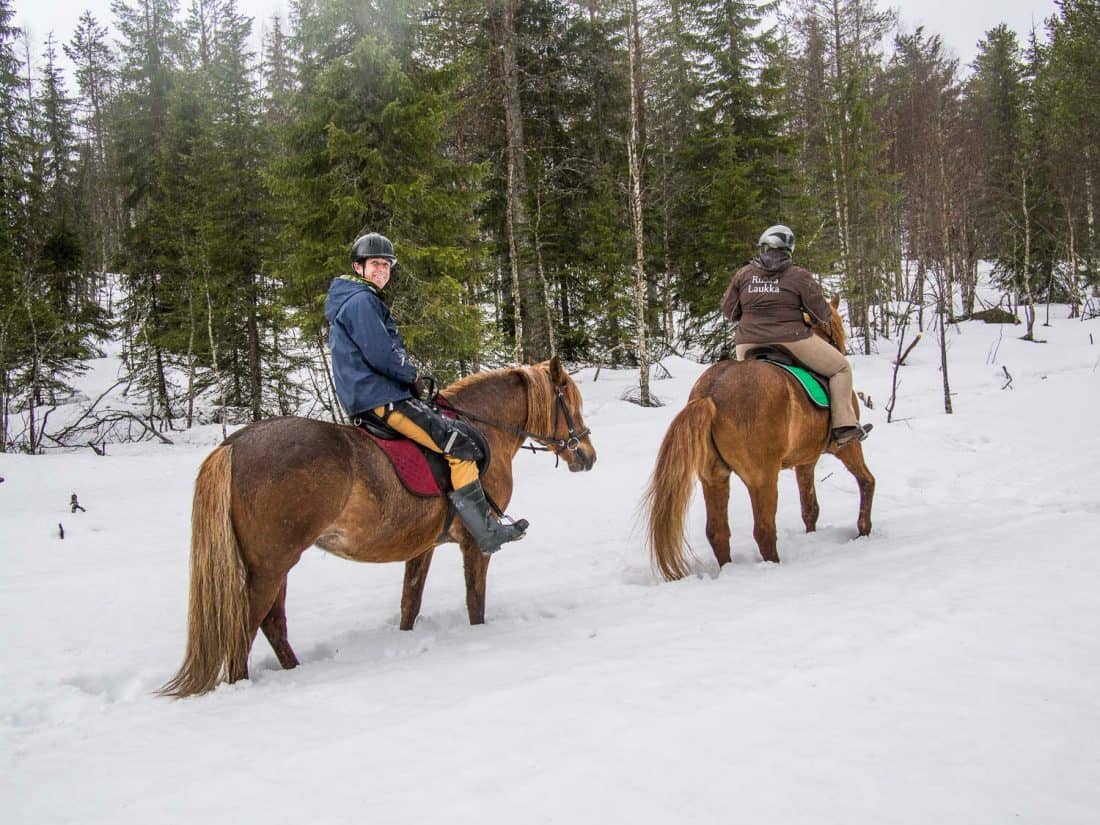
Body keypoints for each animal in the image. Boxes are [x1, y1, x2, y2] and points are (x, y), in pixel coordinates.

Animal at [159, 358, 598, 699]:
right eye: (571, 405)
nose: (588, 456)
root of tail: (233, 445)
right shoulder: (475, 545)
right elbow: (476, 603)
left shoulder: (422, 547)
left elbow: (410, 604)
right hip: (271, 564)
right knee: (245, 631)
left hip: (274, 564)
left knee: (273, 624)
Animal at [642, 299, 875, 580]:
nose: (840, 346)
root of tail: (711, 394)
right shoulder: (847, 447)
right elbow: (866, 481)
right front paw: (864, 530)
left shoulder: (805, 461)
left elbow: (810, 507)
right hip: (762, 478)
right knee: (764, 530)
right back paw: (773, 568)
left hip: (714, 477)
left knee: (718, 531)